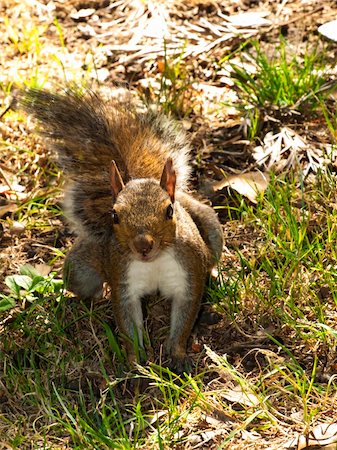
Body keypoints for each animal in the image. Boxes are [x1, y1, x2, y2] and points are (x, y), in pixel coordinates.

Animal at [19, 88, 223, 372]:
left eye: (169, 211)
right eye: (114, 215)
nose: (143, 245)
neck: (154, 261)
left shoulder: (189, 271)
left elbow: (185, 316)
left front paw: (177, 354)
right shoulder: (122, 279)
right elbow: (128, 322)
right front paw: (137, 361)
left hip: (211, 232)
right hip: (79, 271)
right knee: (84, 284)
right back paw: (90, 302)